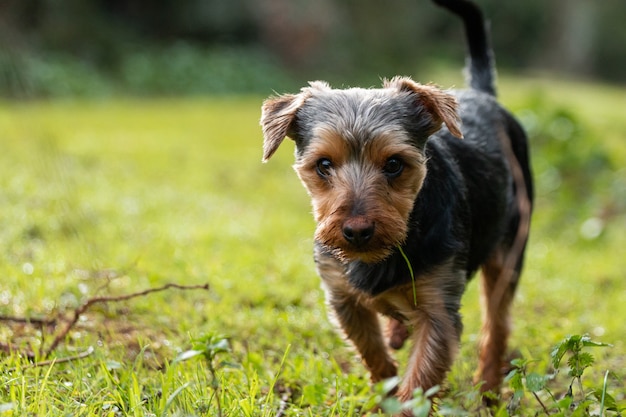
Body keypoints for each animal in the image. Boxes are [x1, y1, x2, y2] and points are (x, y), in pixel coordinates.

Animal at [258, 0, 532, 410]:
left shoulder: (439, 310)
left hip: (510, 247)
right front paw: (383, 390)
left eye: (394, 164)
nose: (357, 231)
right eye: (323, 164)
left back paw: (488, 391)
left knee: (496, 324)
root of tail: (483, 95)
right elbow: (374, 355)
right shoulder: (343, 298)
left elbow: (418, 383)